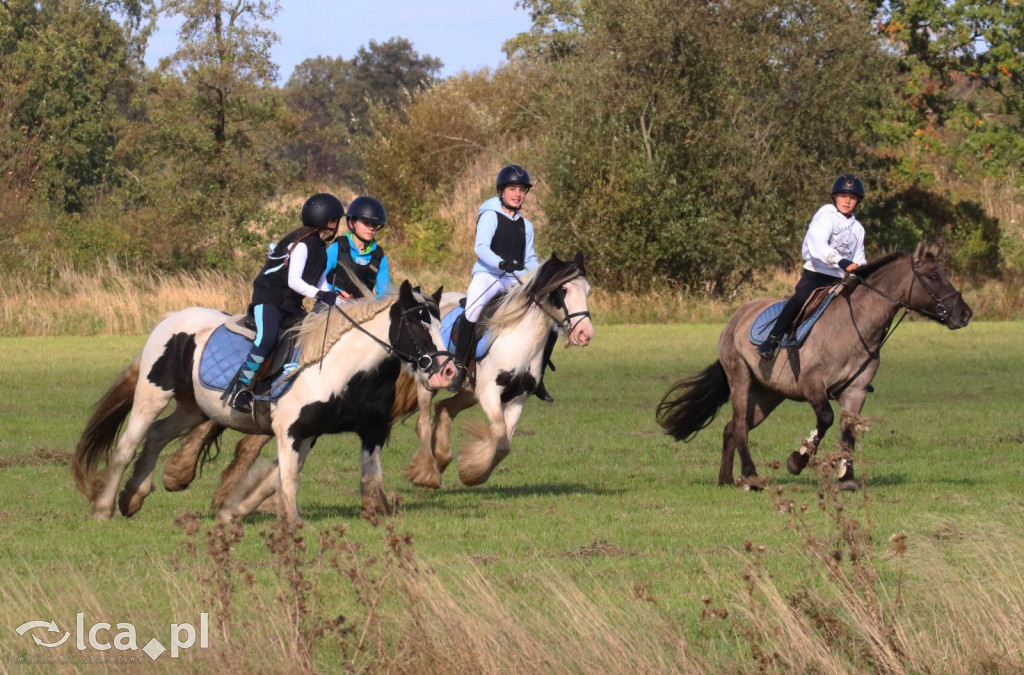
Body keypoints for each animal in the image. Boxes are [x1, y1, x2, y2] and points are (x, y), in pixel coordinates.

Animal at [397, 250, 598, 487]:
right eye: (563, 290)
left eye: (587, 290)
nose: (585, 334)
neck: (518, 339)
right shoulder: (490, 392)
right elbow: (500, 435)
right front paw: (472, 473)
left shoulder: (517, 397)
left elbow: (503, 444)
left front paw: (472, 471)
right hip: (429, 383)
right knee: (424, 423)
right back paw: (426, 473)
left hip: (470, 391)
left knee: (445, 408)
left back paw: (442, 458)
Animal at [659, 243, 970, 491]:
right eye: (933, 276)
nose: (965, 313)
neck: (853, 325)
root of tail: (736, 316)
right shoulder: (812, 386)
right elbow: (826, 419)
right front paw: (798, 459)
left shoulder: (855, 392)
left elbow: (848, 434)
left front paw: (847, 479)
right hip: (741, 380)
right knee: (738, 426)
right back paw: (752, 476)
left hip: (768, 395)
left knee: (732, 428)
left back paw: (726, 480)